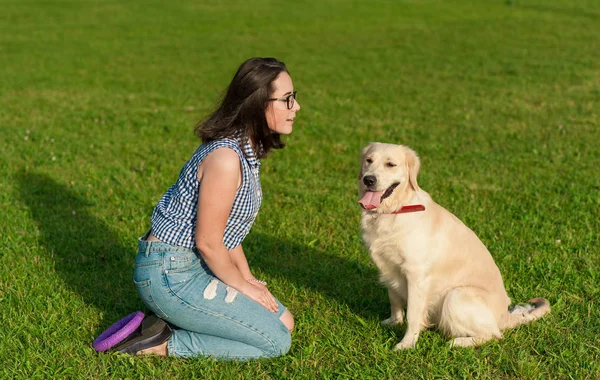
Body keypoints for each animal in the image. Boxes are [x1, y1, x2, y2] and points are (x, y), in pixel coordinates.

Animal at [358, 142, 552, 350]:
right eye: (368, 160)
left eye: (391, 164)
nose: (368, 179)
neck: (394, 210)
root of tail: (505, 317)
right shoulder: (388, 268)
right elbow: (394, 300)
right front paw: (393, 322)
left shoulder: (416, 274)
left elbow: (413, 314)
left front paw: (406, 344)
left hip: (456, 295)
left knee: (494, 334)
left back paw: (457, 342)